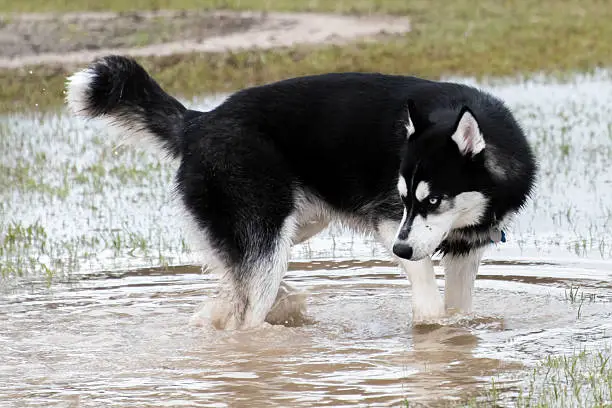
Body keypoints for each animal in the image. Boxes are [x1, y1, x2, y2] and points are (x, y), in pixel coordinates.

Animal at [67, 55, 536, 330]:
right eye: (405, 199)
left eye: (433, 200)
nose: (400, 251)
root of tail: (199, 121)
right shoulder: (391, 224)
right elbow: (431, 304)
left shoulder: (464, 249)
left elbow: (459, 308)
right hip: (268, 239)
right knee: (246, 313)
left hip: (293, 227)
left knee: (232, 283)